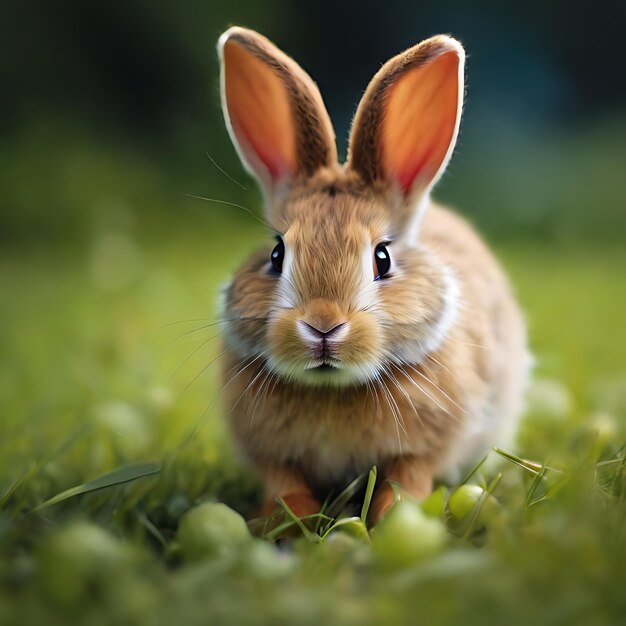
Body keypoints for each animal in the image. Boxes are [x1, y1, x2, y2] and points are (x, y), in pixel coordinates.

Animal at [213, 25, 528, 520]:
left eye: (383, 258)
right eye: (277, 254)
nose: (323, 326)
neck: (333, 388)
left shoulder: (422, 450)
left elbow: (406, 482)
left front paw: (390, 517)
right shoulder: (272, 456)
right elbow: (284, 484)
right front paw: (287, 519)